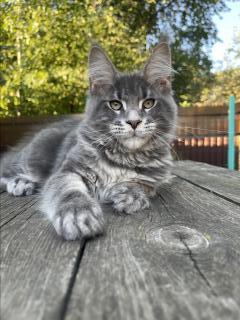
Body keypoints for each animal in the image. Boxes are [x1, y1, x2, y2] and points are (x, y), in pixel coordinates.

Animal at [0, 42, 178, 240]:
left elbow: (141, 185)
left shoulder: (153, 180)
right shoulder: (67, 171)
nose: (133, 122)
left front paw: (130, 195)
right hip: (34, 158)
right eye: (115, 104)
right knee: (7, 169)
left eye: (148, 103)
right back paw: (21, 183)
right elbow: (69, 190)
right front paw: (78, 214)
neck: (124, 157)